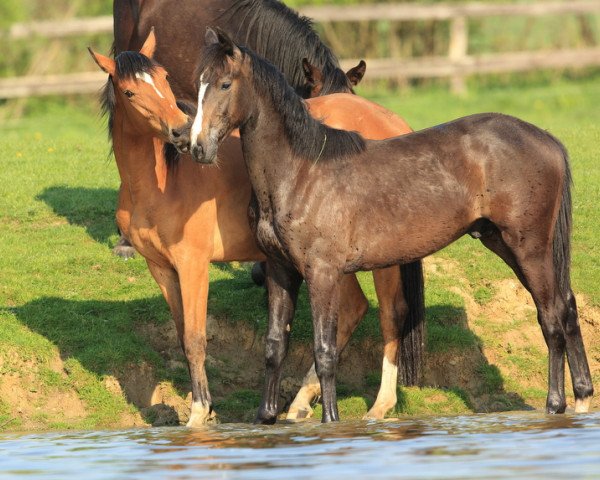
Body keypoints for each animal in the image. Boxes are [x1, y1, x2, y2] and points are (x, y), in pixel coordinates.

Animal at [89, 31, 418, 426]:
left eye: (165, 80)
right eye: (130, 92)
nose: (182, 132)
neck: (160, 182)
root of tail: (393, 123)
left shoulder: (193, 266)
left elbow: (196, 338)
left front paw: (199, 413)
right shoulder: (163, 270)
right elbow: (183, 336)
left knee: (390, 313)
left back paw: (380, 404)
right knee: (355, 309)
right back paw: (300, 402)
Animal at [190, 28, 592, 422]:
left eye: (225, 84)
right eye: (198, 84)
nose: (197, 147)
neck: (301, 171)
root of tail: (547, 139)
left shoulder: (322, 273)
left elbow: (325, 350)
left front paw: (329, 418)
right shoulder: (280, 270)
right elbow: (275, 345)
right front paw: (267, 417)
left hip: (529, 248)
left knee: (551, 318)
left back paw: (555, 404)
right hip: (503, 242)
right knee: (566, 306)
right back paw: (582, 397)